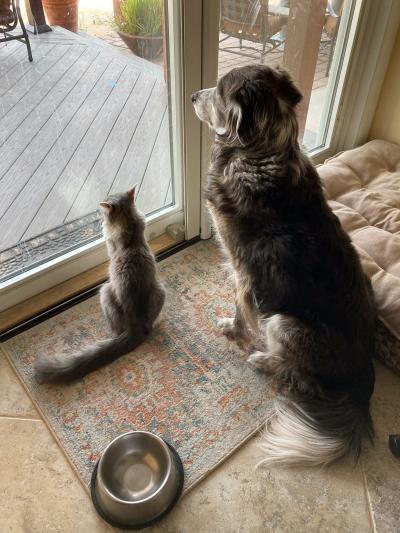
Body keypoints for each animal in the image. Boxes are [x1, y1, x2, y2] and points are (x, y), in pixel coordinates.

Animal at [34, 187, 165, 382]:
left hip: (105, 291)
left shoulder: (110, 243)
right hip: (159, 291)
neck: (130, 225)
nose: (98, 212)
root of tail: (135, 324)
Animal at [192, 65, 376, 466]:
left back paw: (264, 360)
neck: (259, 155)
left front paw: (232, 329)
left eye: (219, 91)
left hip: (283, 323)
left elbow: (241, 309)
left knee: (301, 377)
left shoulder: (243, 270)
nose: (194, 96)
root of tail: (363, 377)